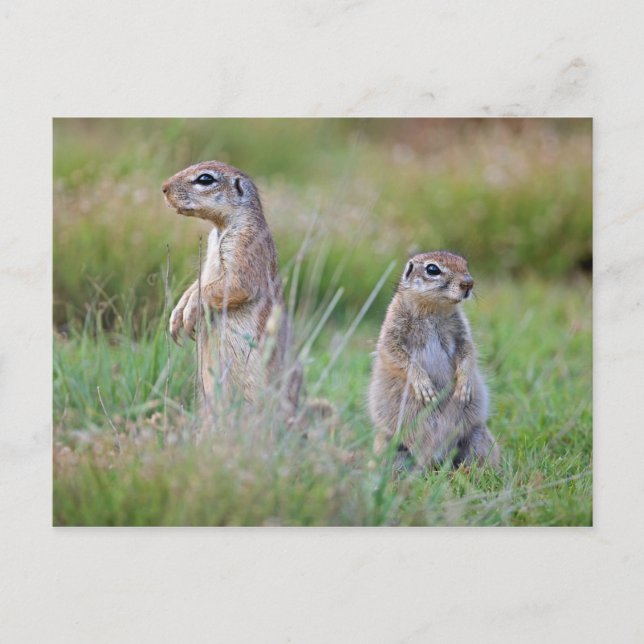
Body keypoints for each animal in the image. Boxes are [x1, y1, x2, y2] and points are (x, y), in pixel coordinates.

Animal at [162, 160, 301, 418]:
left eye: (205, 179)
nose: (163, 188)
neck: (221, 229)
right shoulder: (208, 255)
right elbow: (198, 283)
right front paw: (177, 313)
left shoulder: (246, 245)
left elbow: (234, 285)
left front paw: (189, 311)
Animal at [368, 251, 500, 469]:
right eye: (432, 269)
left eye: (465, 264)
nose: (469, 283)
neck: (434, 308)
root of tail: (436, 456)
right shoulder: (392, 329)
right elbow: (395, 353)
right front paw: (423, 385)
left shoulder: (462, 332)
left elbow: (468, 352)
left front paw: (464, 384)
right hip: (388, 443)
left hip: (478, 436)